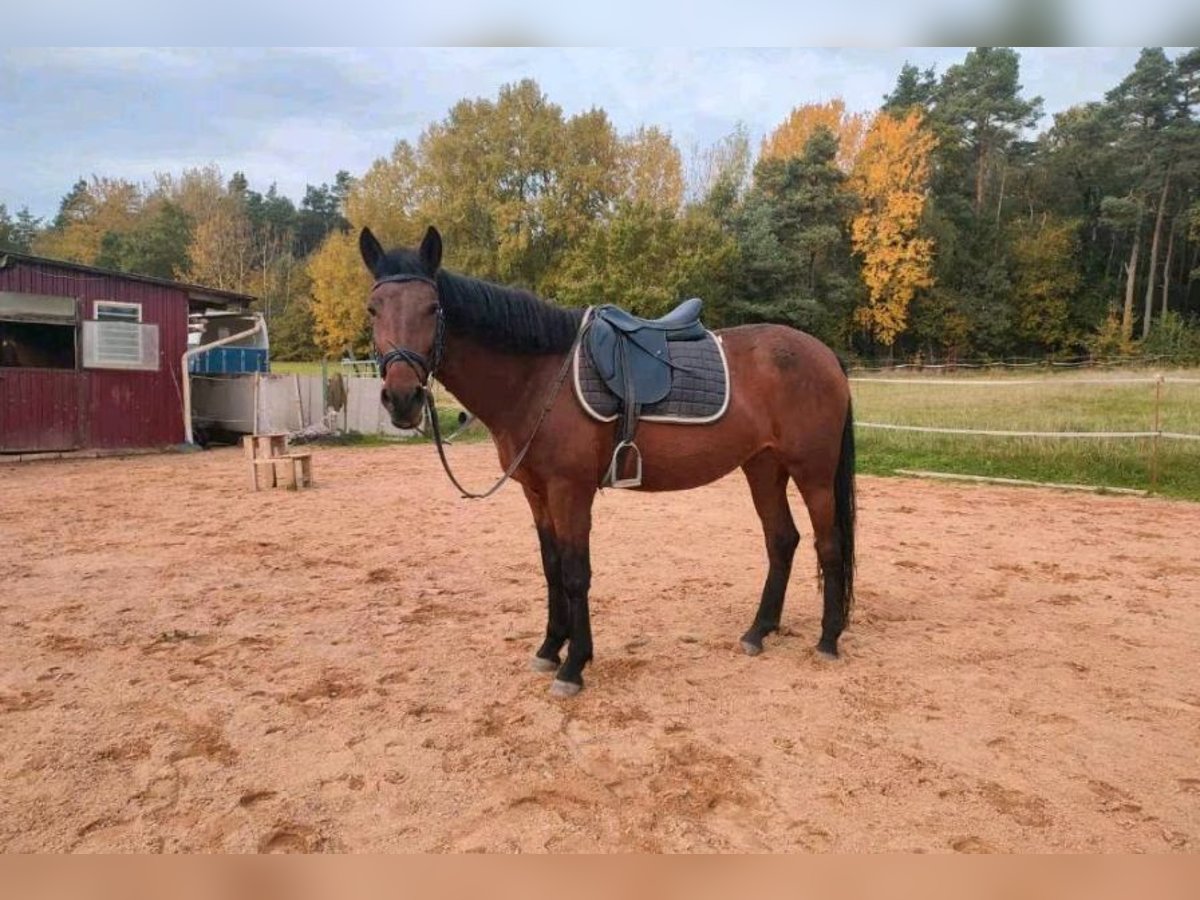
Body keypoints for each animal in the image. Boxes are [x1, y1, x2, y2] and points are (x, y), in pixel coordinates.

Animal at [360, 224, 859, 696]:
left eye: (432, 308)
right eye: (374, 309)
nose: (402, 399)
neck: (539, 377)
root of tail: (825, 355)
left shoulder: (570, 491)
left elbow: (576, 574)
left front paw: (574, 665)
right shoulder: (536, 493)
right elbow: (551, 569)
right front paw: (549, 648)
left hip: (812, 472)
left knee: (828, 544)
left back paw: (828, 639)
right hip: (763, 467)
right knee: (782, 540)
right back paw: (758, 631)